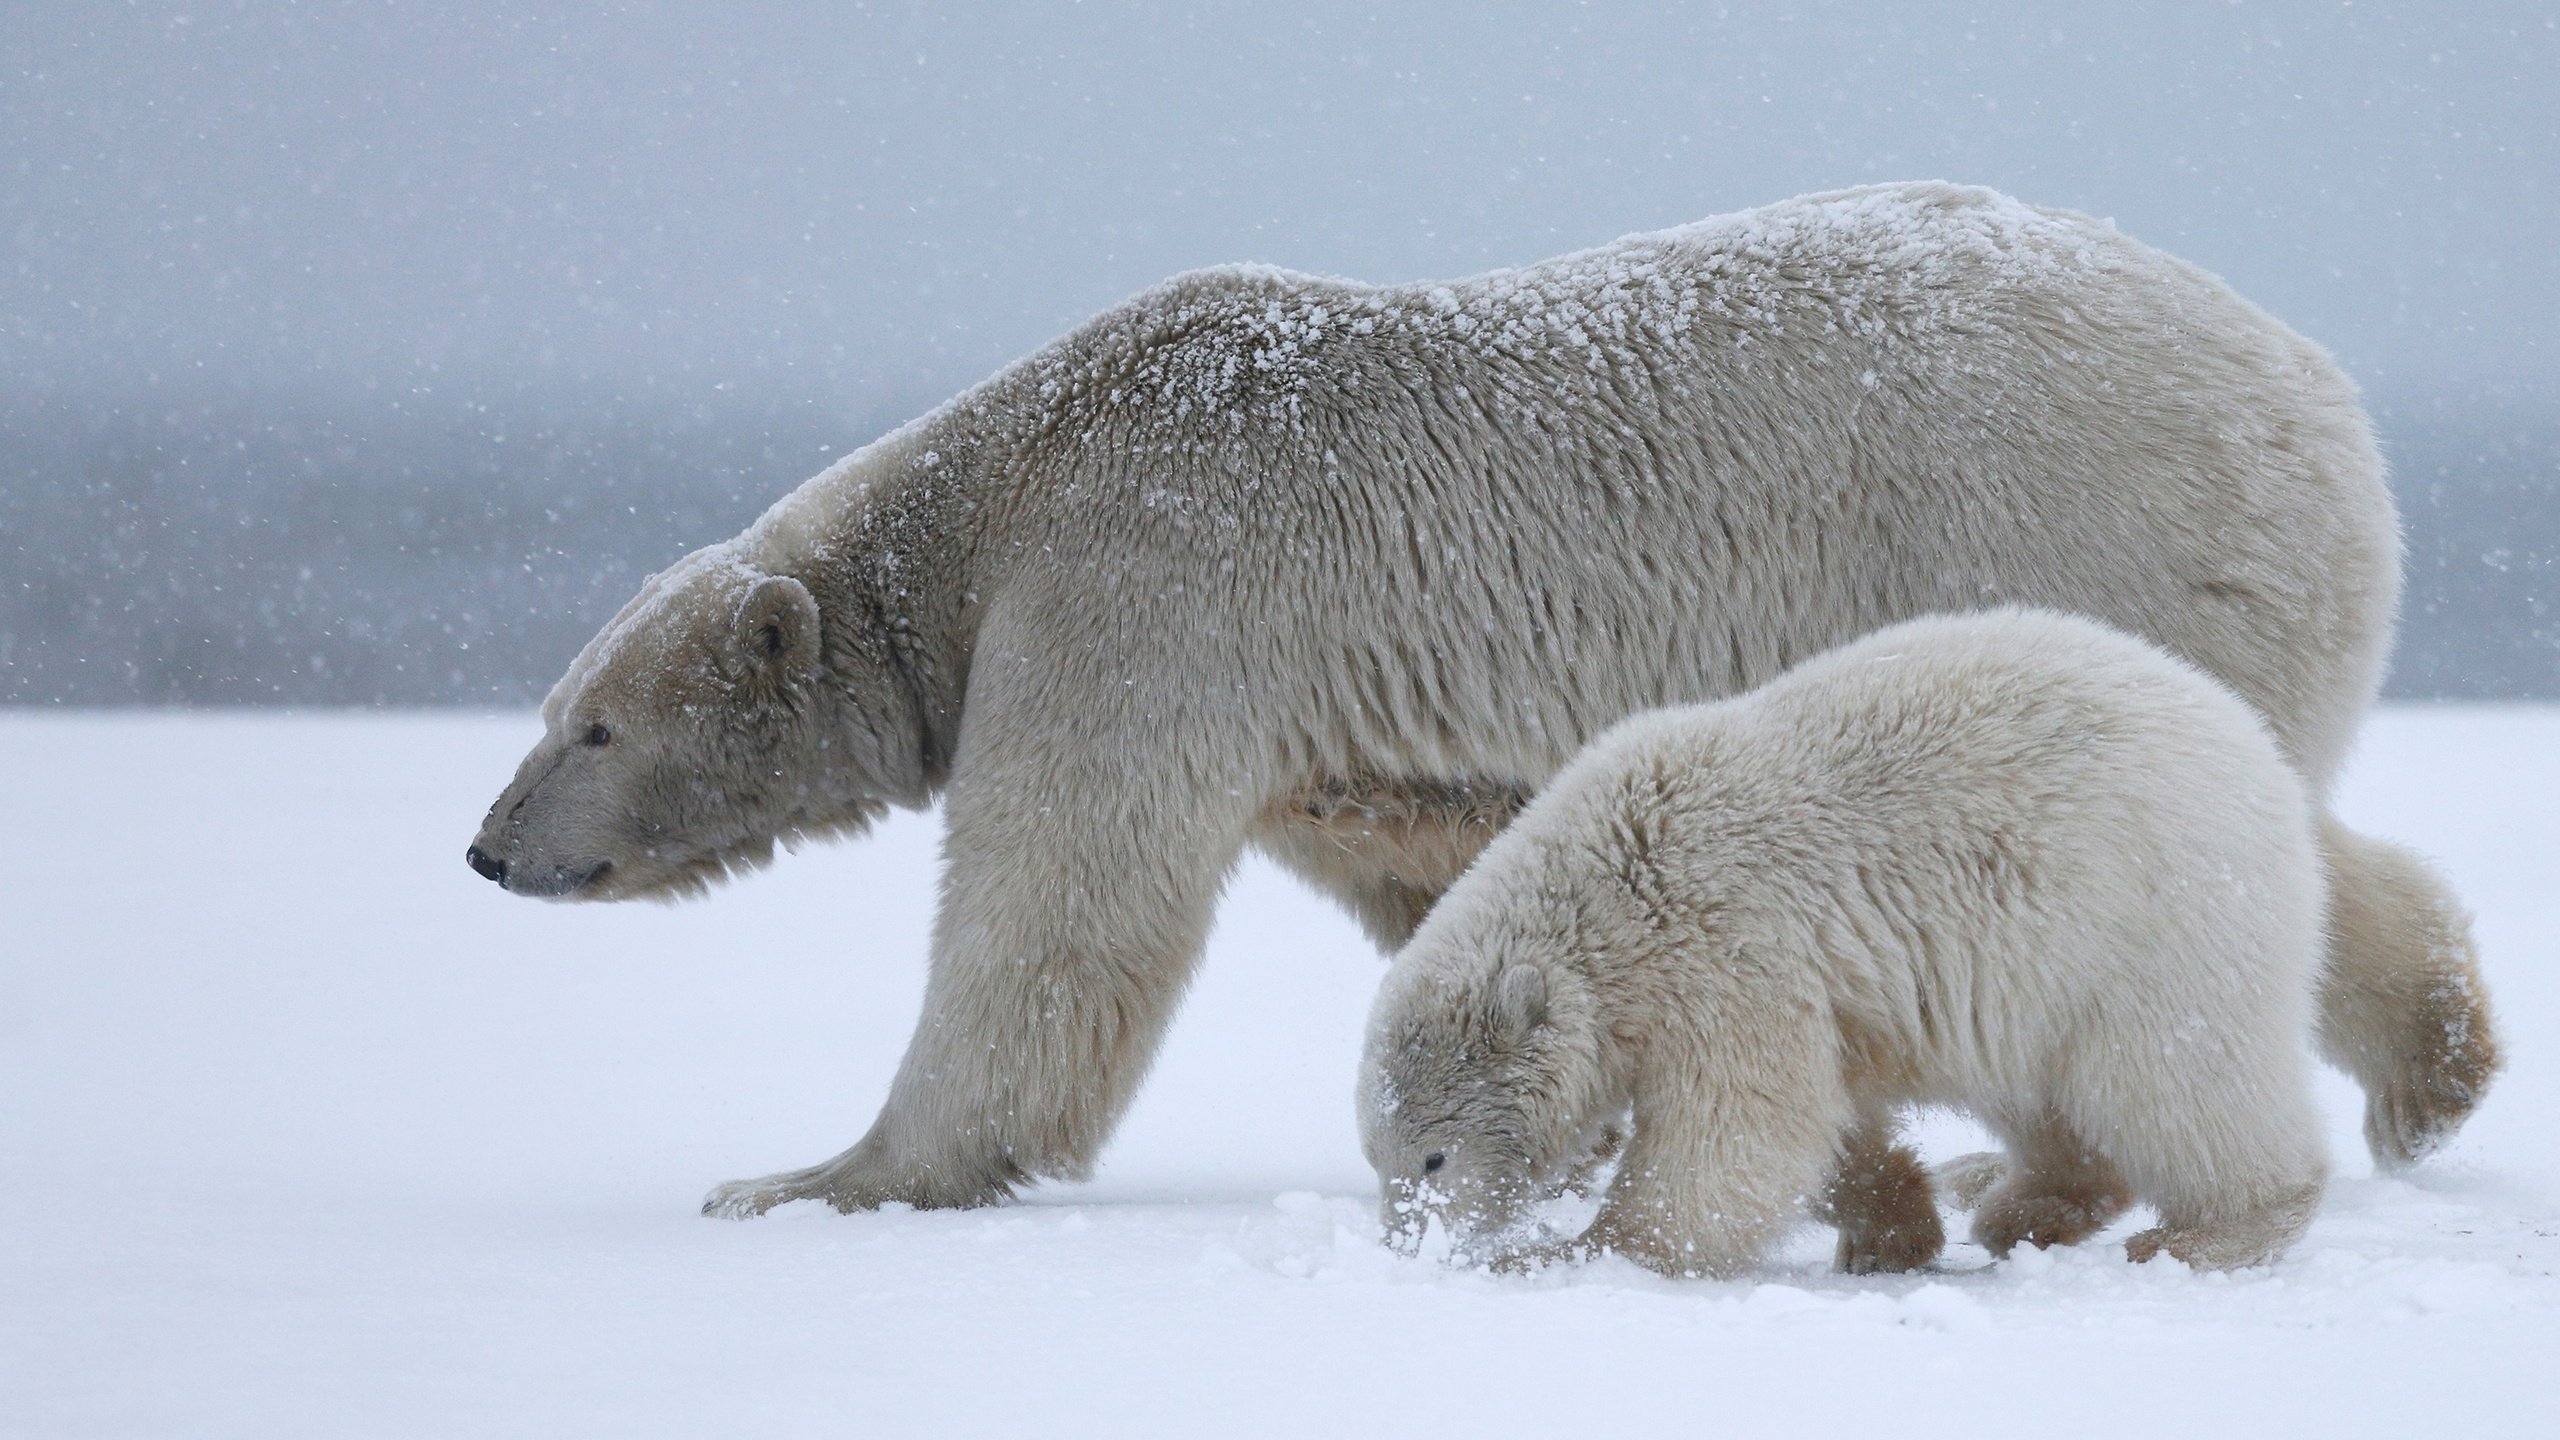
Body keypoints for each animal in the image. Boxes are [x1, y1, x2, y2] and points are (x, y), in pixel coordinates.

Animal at [1361, 602, 2344, 1265]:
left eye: (1433, 1158)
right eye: (1377, 1158)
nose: (1405, 1245)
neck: (1612, 877)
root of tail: (2255, 749)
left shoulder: (1725, 943)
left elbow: (1741, 1126)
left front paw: (1572, 1251)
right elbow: (1823, 1118)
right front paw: (1891, 1227)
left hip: (2153, 918)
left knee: (2177, 1080)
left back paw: (2213, 1231)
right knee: (2046, 1092)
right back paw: (2023, 1207)